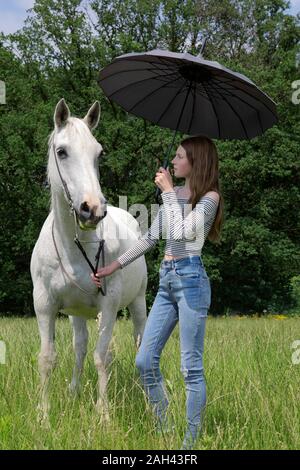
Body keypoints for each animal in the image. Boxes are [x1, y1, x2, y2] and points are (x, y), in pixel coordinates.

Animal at [30, 98, 148, 422]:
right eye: (62, 151)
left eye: (99, 153)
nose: (92, 209)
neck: (75, 247)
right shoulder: (44, 304)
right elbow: (48, 358)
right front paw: (44, 416)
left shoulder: (108, 304)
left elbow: (102, 357)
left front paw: (104, 414)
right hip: (77, 313)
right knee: (80, 346)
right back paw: (74, 391)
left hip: (138, 302)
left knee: (138, 341)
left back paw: (143, 391)